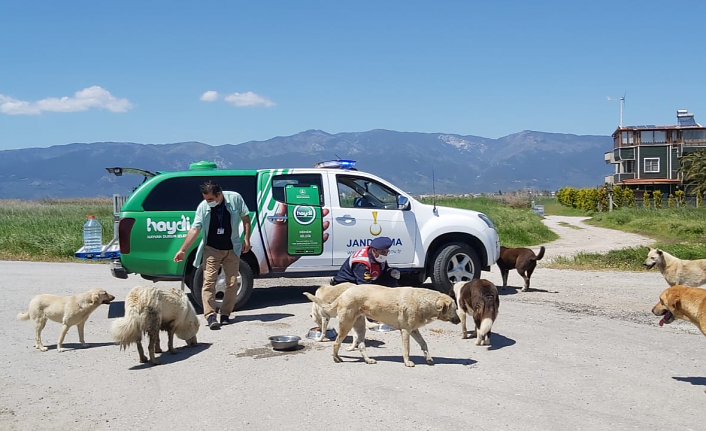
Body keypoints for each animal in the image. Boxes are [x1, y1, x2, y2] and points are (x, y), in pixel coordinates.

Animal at [304, 284, 460, 368]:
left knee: (361, 345)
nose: (459, 321)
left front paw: (428, 359)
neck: (422, 301)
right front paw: (407, 362)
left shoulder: (414, 330)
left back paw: (367, 360)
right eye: (454, 308)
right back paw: (336, 358)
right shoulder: (406, 331)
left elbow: (424, 344)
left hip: (360, 327)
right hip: (346, 325)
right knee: (336, 343)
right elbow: (407, 349)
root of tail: (343, 294)